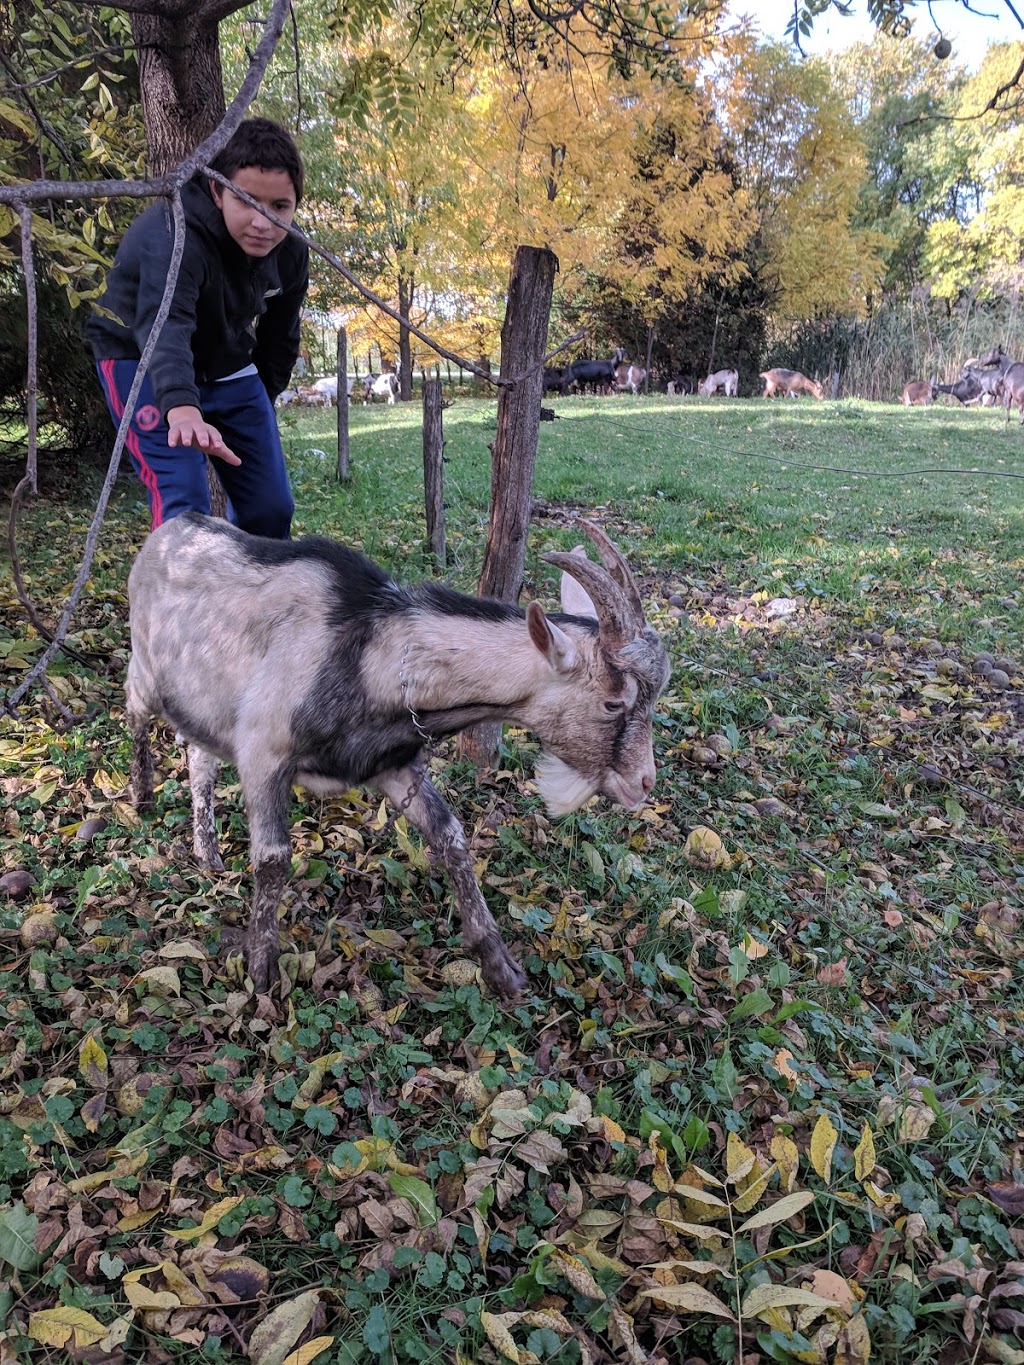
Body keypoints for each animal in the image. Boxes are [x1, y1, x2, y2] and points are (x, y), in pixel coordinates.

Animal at [126, 515, 674, 999]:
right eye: (613, 702)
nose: (644, 783)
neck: (371, 651)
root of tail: (168, 530)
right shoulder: (263, 751)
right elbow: (274, 859)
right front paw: (261, 974)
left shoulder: (389, 765)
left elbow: (449, 834)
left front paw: (500, 967)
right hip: (146, 670)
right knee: (135, 713)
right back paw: (141, 797)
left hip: (204, 704)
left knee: (199, 759)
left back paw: (208, 852)